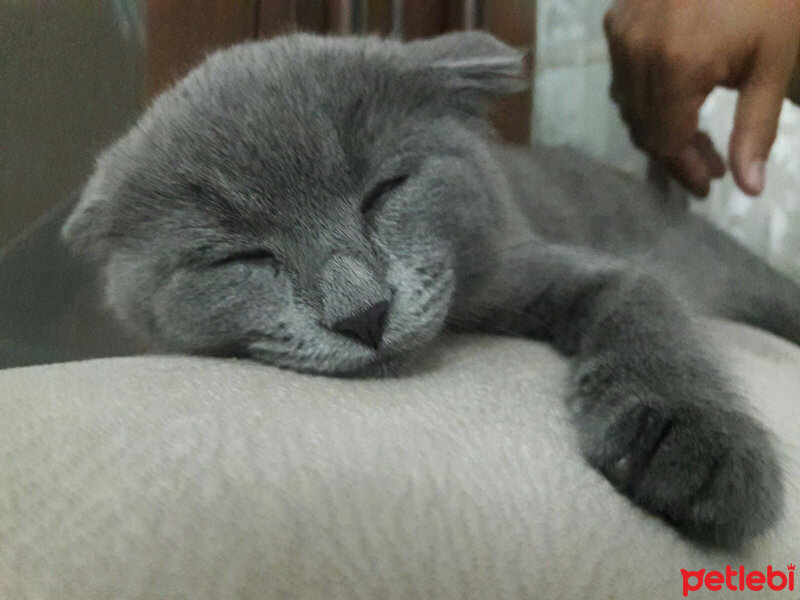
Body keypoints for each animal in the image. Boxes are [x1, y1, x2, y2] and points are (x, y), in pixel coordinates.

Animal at [62, 31, 800, 548]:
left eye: (385, 191)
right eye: (244, 257)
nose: (363, 314)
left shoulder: (546, 262)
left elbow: (645, 304)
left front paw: (692, 438)